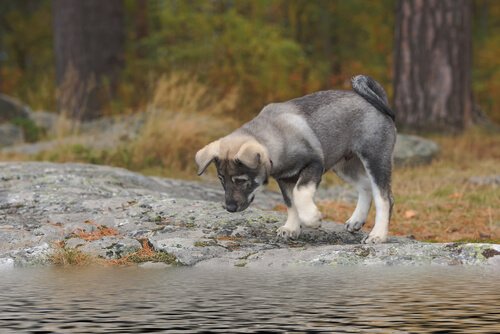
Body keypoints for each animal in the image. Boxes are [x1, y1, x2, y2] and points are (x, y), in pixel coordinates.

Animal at [195, 74, 394, 244]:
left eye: (241, 180)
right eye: (221, 179)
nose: (229, 208)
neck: (277, 136)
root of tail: (378, 101)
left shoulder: (314, 165)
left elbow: (300, 194)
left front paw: (312, 218)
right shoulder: (285, 178)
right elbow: (291, 203)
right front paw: (291, 227)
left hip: (375, 159)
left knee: (384, 198)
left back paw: (378, 235)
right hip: (345, 166)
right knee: (365, 187)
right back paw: (357, 219)